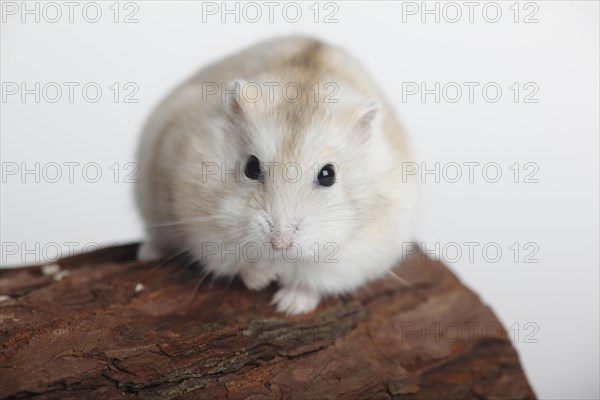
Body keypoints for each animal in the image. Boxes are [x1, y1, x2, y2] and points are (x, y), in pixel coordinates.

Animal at [135, 36, 418, 314]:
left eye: (328, 174)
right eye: (251, 167)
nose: (279, 244)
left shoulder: (357, 255)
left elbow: (311, 280)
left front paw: (287, 305)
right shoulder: (203, 229)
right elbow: (238, 263)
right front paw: (264, 279)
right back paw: (147, 253)